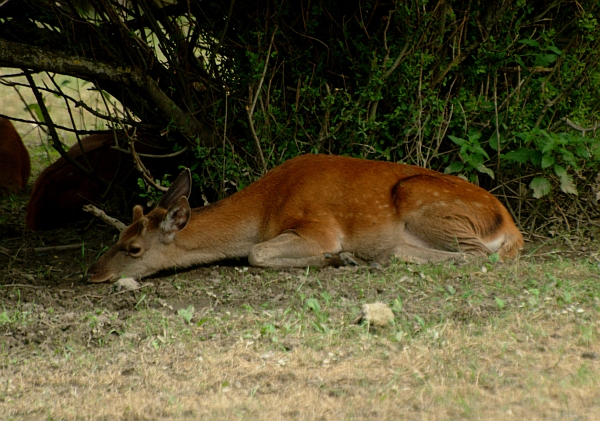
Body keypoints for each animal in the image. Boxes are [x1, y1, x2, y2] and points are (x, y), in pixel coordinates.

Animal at [86, 153, 524, 282]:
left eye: (134, 248)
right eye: (117, 236)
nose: (92, 272)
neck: (264, 211)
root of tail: (510, 225)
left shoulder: (318, 226)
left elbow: (256, 254)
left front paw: (336, 259)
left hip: (425, 202)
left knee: (478, 256)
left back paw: (371, 257)